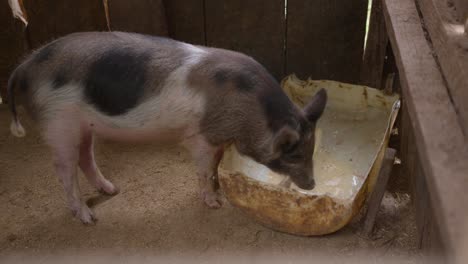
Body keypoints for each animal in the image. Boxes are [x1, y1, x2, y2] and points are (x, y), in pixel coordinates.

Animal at [8, 32, 330, 224]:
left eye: (312, 149)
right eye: (293, 155)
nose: (312, 184)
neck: (249, 112)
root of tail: (25, 67)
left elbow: (215, 166)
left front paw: (217, 189)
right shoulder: (201, 137)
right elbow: (203, 170)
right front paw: (214, 203)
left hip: (84, 126)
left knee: (86, 157)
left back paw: (112, 190)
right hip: (58, 124)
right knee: (64, 169)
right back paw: (88, 217)